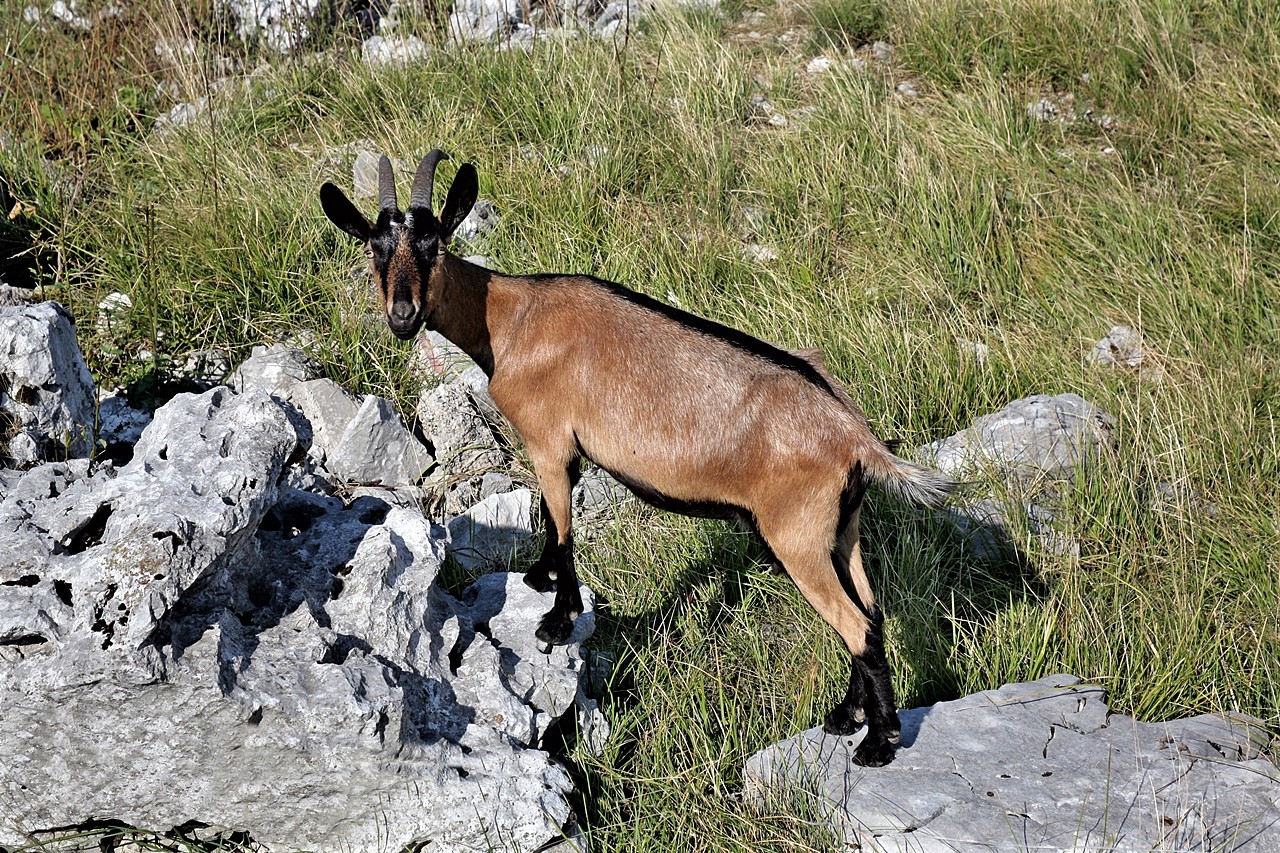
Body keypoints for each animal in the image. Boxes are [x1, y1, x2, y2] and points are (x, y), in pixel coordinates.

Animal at [319, 151, 953, 766]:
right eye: (375, 247)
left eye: (434, 245)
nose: (403, 316)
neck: (510, 319)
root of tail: (854, 437)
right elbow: (550, 521)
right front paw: (538, 579)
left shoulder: (550, 442)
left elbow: (563, 527)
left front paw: (556, 621)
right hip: (842, 532)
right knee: (871, 613)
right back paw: (847, 718)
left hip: (796, 535)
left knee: (856, 626)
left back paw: (877, 744)